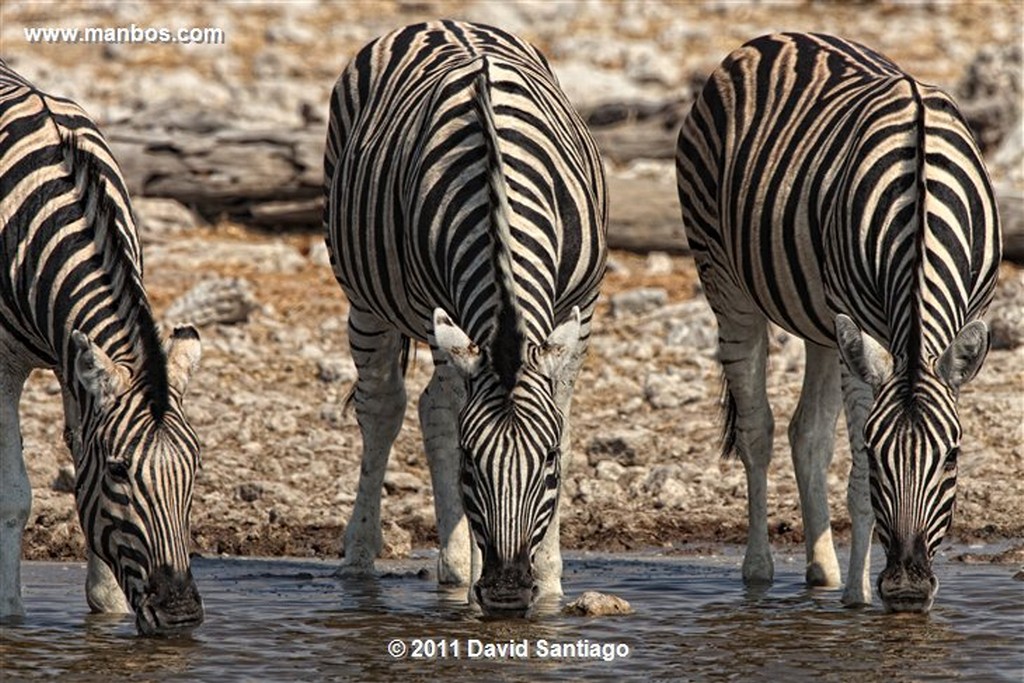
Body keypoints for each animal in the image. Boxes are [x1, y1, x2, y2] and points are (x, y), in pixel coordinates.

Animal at [0, 58, 203, 634]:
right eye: (118, 471)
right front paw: (10, 611)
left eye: (195, 469)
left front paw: (107, 603)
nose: (180, 616)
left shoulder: (74, 357)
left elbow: (78, 450)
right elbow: (14, 495)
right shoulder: (4, 361)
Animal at [323, 21, 602, 614]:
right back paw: (362, 556)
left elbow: (563, 419)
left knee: (430, 403)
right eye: (471, 462)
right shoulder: (444, 306)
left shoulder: (583, 309)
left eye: (549, 462)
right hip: (363, 297)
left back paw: (452, 566)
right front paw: (478, 578)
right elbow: (449, 423)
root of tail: (438, 22)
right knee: (385, 406)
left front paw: (549, 580)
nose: (506, 593)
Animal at [675, 33, 1003, 614]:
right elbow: (855, 481)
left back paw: (821, 570)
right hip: (724, 280)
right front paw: (858, 600)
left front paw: (852, 588)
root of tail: (768, 39)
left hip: (826, 323)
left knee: (807, 432)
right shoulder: (867, 336)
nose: (908, 591)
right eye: (876, 456)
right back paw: (758, 572)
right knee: (757, 430)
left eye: (952, 457)